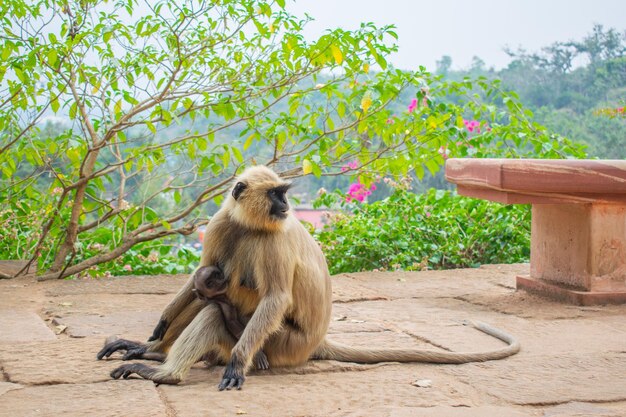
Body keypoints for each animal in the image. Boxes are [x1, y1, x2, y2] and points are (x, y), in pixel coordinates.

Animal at [96, 164, 516, 388]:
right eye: (276, 194)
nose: (285, 204)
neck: (249, 224)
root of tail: (316, 342)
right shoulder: (220, 223)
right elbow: (195, 278)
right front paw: (159, 325)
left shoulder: (274, 239)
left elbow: (276, 297)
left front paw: (236, 365)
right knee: (207, 293)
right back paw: (149, 351)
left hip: (282, 345)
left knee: (217, 308)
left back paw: (166, 373)